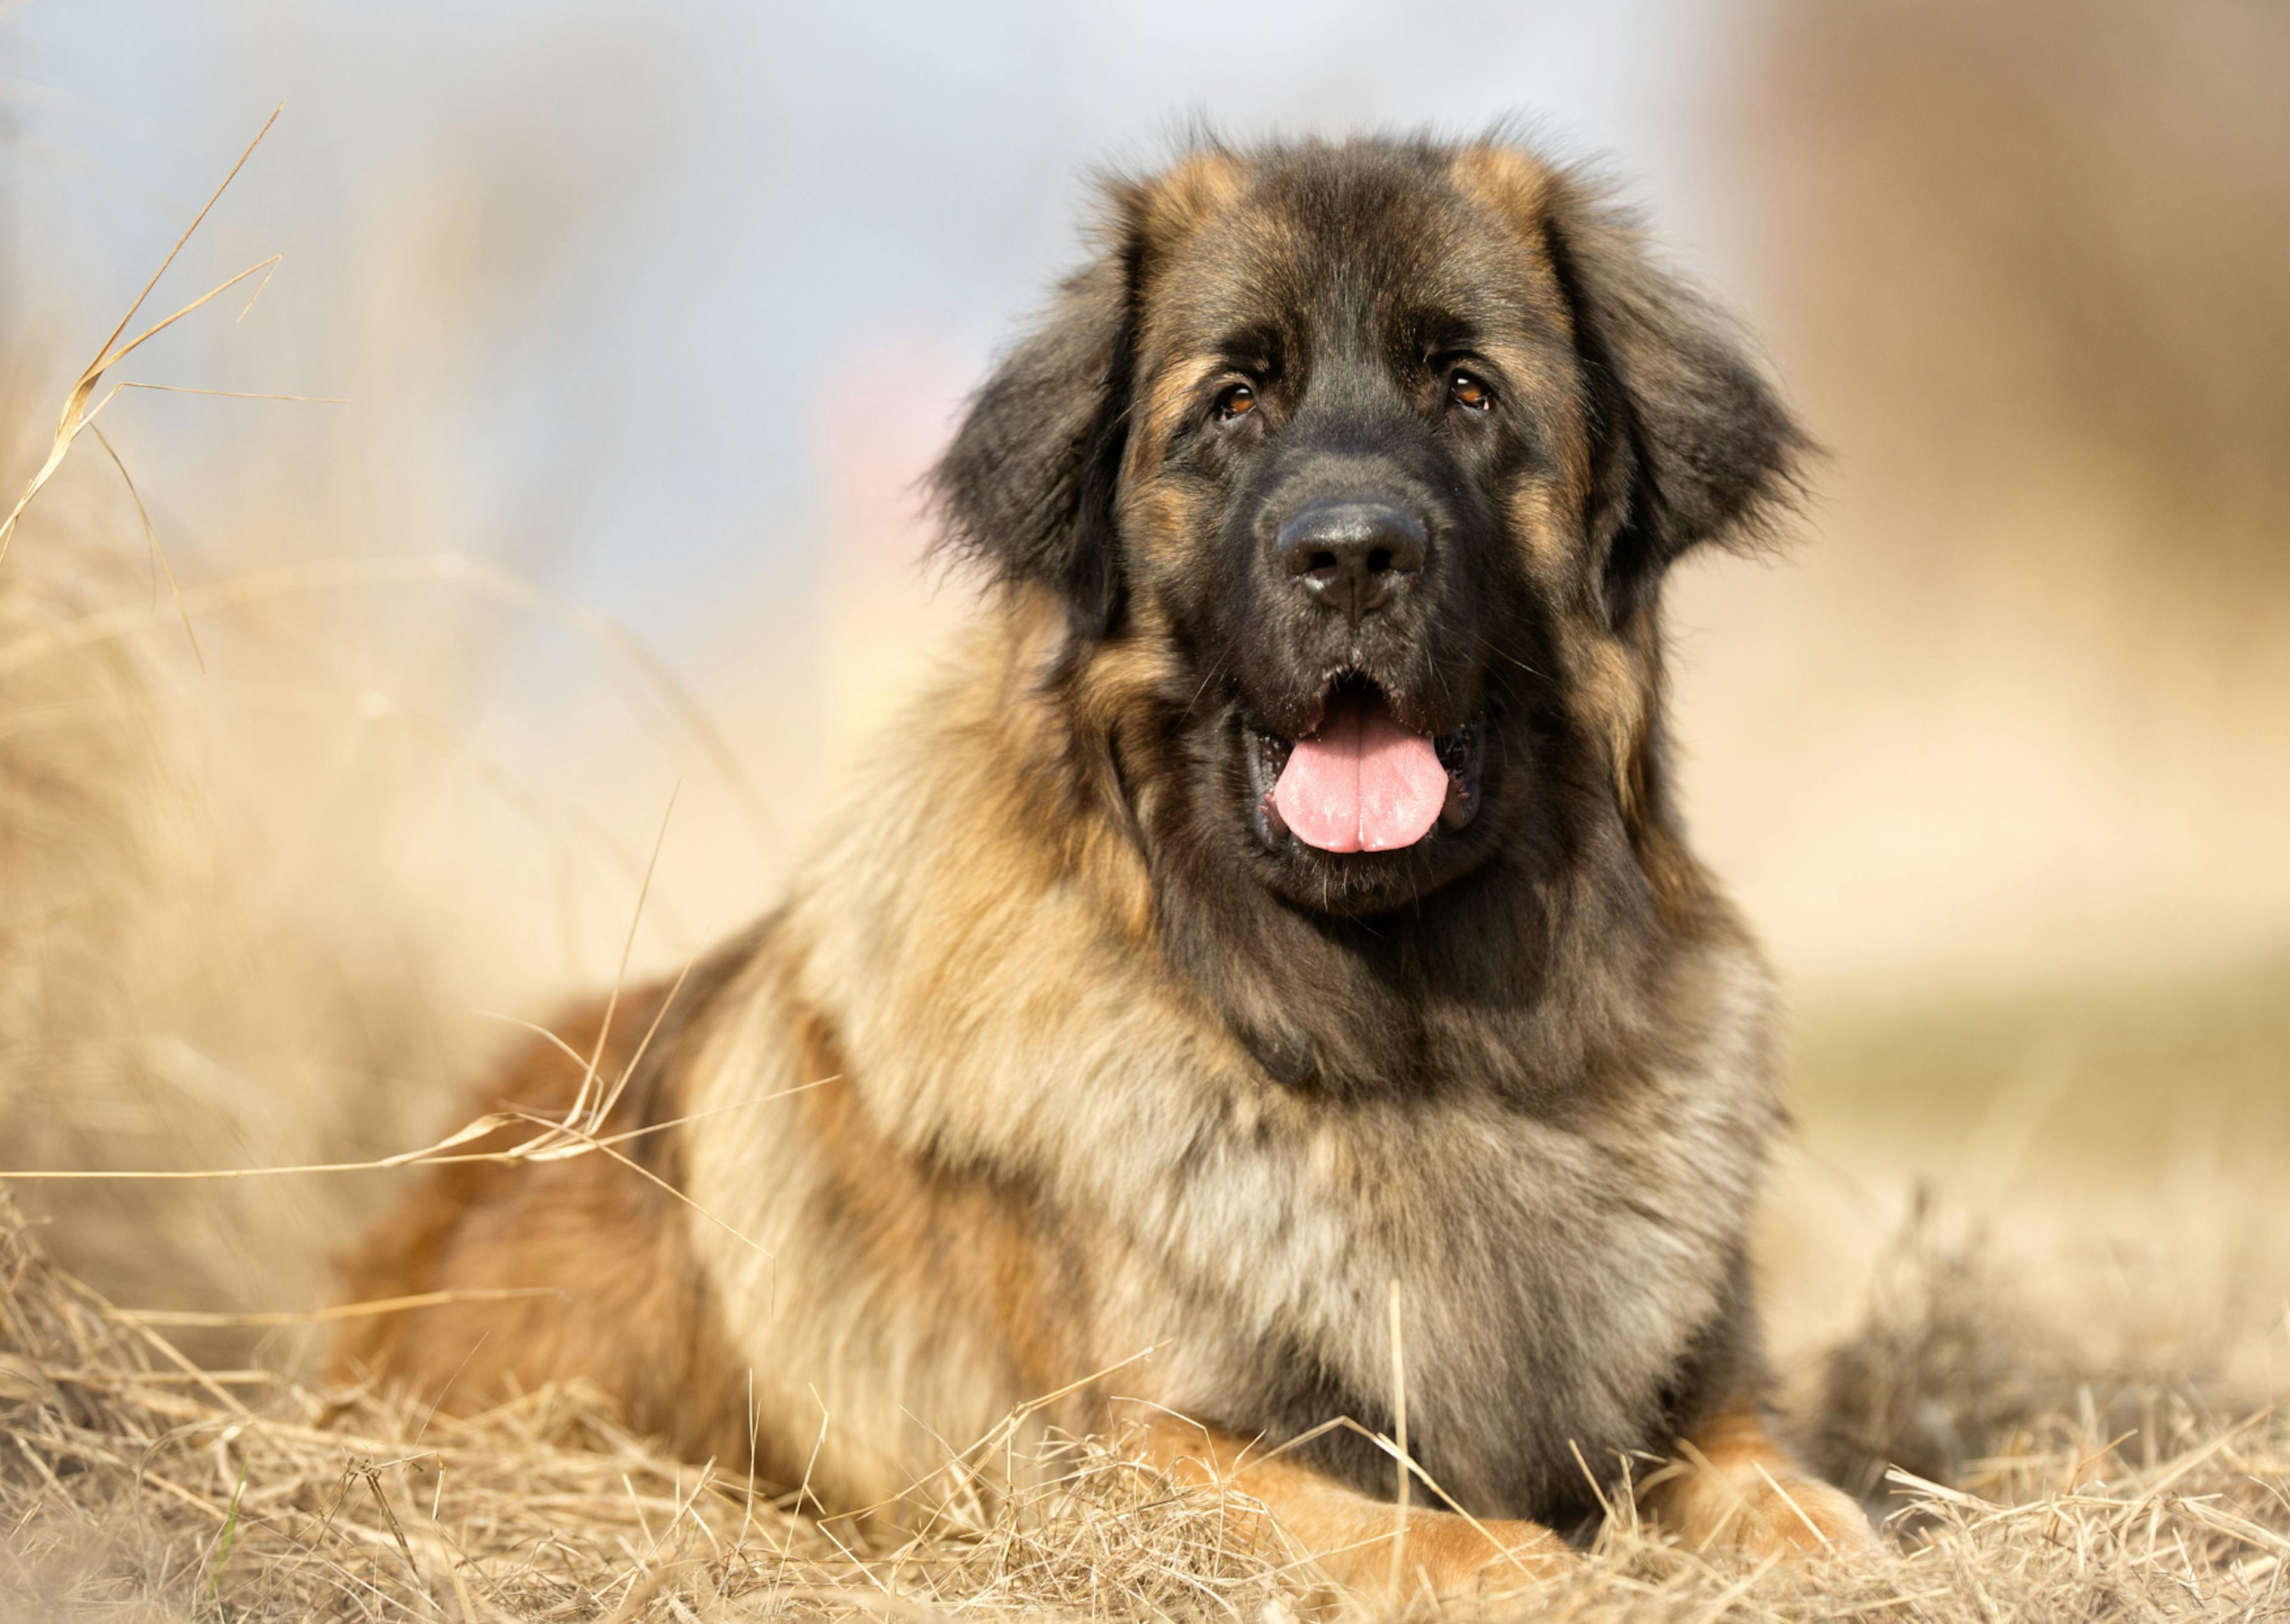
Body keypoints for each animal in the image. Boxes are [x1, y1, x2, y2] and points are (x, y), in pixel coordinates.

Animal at [339, 130, 1877, 1594]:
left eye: (1468, 391)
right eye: (1233, 403)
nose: (1352, 557)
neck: (1404, 1041)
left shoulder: (1699, 1396)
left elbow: (1792, 1494)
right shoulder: (1126, 1451)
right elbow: (1404, 1533)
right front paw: (1531, 1567)